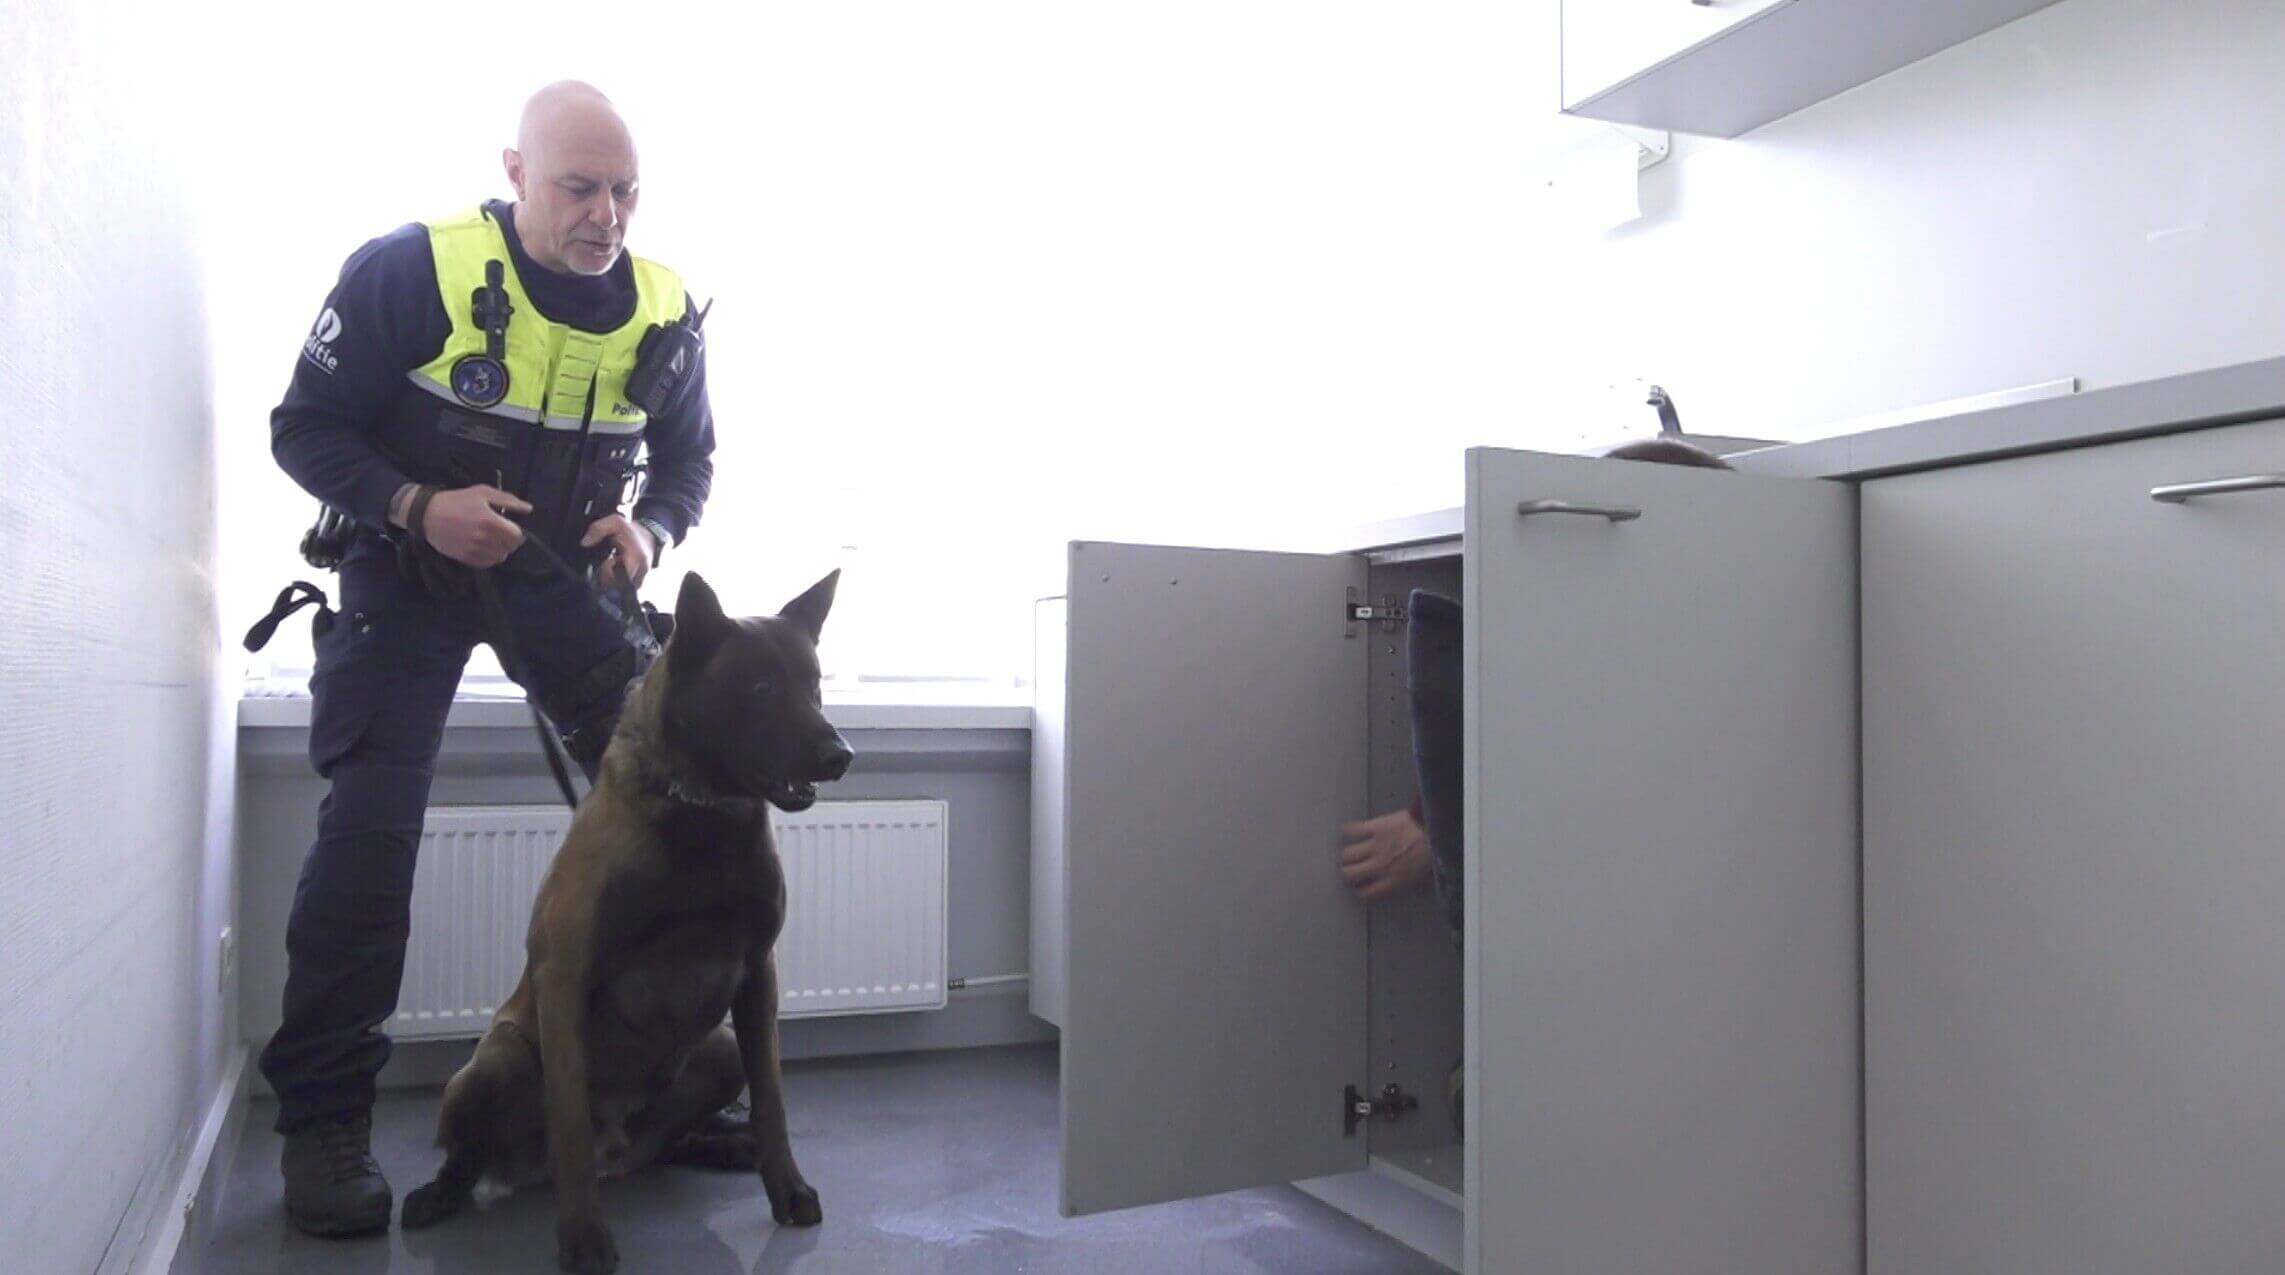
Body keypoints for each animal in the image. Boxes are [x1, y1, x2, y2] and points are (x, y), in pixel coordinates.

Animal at [399, 569, 853, 1275]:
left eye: (813, 685)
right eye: (760, 687)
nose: (841, 755)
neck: (700, 816)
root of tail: (622, 1154)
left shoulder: (757, 981)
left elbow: (772, 1102)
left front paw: (787, 1188)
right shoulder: (566, 981)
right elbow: (569, 1126)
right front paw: (584, 1239)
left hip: (720, 1046)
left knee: (672, 1139)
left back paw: (720, 1145)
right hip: (495, 1061)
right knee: (472, 1153)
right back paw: (439, 1192)